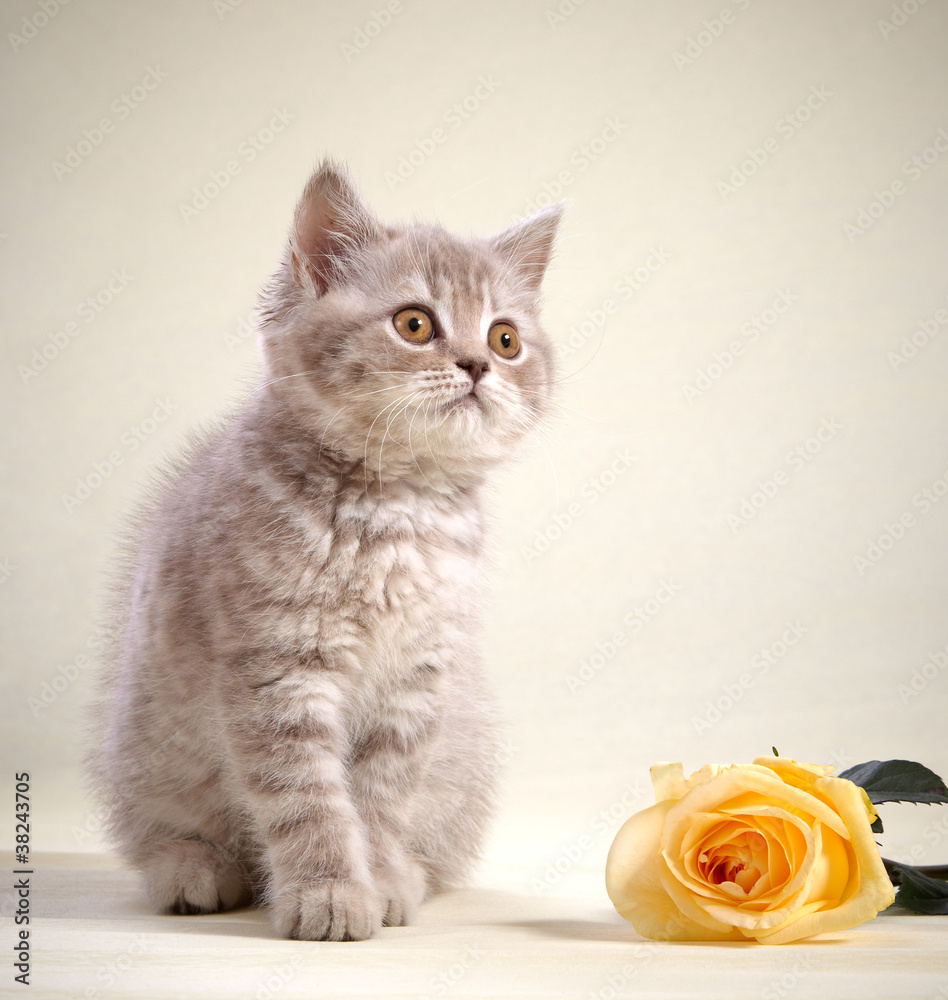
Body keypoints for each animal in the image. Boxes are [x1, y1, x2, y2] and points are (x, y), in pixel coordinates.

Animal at [88, 160, 560, 940]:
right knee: (162, 831)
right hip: (146, 743)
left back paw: (410, 873)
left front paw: (381, 880)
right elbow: (306, 798)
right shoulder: (277, 667)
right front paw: (330, 894)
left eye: (505, 340)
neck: (397, 512)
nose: (476, 365)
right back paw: (192, 869)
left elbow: (381, 797)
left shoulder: (416, 684)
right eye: (414, 323)